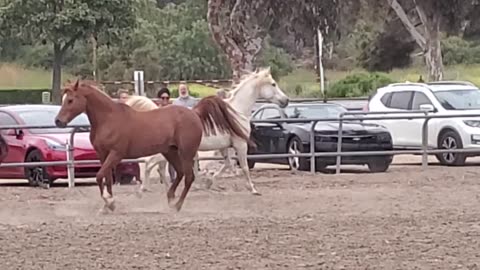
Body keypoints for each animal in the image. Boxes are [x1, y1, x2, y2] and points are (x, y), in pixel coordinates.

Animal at [55, 80, 251, 213]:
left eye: (70, 100)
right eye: (64, 99)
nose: (58, 121)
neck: (108, 119)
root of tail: (194, 113)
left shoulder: (116, 154)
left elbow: (98, 176)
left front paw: (109, 202)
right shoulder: (103, 155)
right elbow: (107, 178)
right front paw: (108, 206)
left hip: (186, 152)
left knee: (189, 176)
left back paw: (177, 205)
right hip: (170, 152)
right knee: (180, 173)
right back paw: (170, 199)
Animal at [140, 66, 288, 195]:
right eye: (273, 84)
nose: (286, 100)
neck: (236, 112)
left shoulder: (225, 147)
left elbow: (227, 164)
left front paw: (210, 182)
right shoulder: (240, 145)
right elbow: (244, 167)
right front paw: (253, 189)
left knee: (157, 166)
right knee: (150, 164)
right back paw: (145, 189)